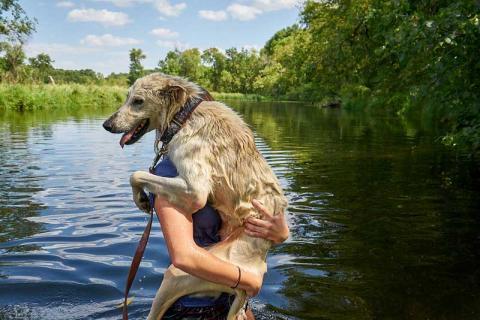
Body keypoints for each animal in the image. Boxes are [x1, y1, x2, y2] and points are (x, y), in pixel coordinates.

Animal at [102, 74, 286, 318]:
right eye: (127, 97)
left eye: (138, 101)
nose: (106, 125)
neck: (183, 116)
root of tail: (257, 269)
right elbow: (138, 174)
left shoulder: (195, 190)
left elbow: (138, 174)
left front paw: (140, 198)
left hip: (175, 278)